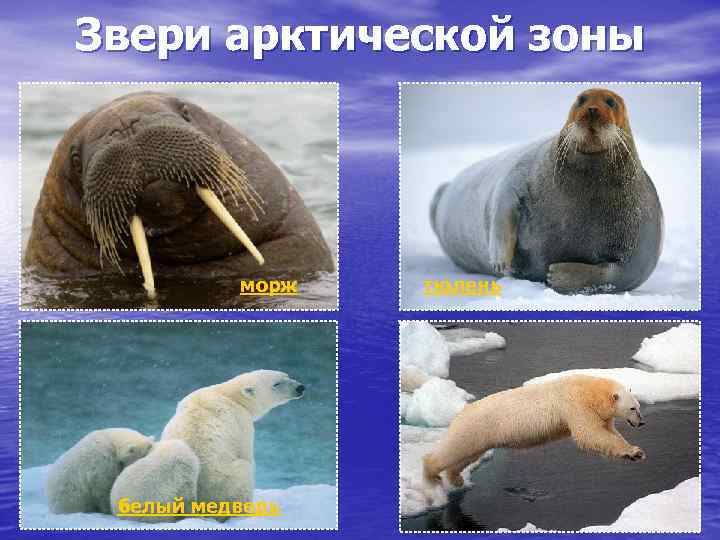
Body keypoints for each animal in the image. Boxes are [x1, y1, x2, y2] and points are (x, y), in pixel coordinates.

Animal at [160, 370, 305, 516]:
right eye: (276, 384)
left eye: (286, 376)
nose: (300, 388)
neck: (228, 395)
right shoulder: (241, 421)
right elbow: (246, 453)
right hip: (227, 481)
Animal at [423, 375, 646, 488]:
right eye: (632, 408)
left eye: (638, 406)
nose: (642, 422)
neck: (591, 391)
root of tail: (460, 412)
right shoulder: (576, 405)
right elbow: (589, 434)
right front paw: (634, 451)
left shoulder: (599, 414)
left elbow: (608, 433)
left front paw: (635, 453)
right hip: (474, 427)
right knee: (452, 450)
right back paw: (431, 474)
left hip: (479, 436)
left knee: (467, 456)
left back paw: (456, 478)